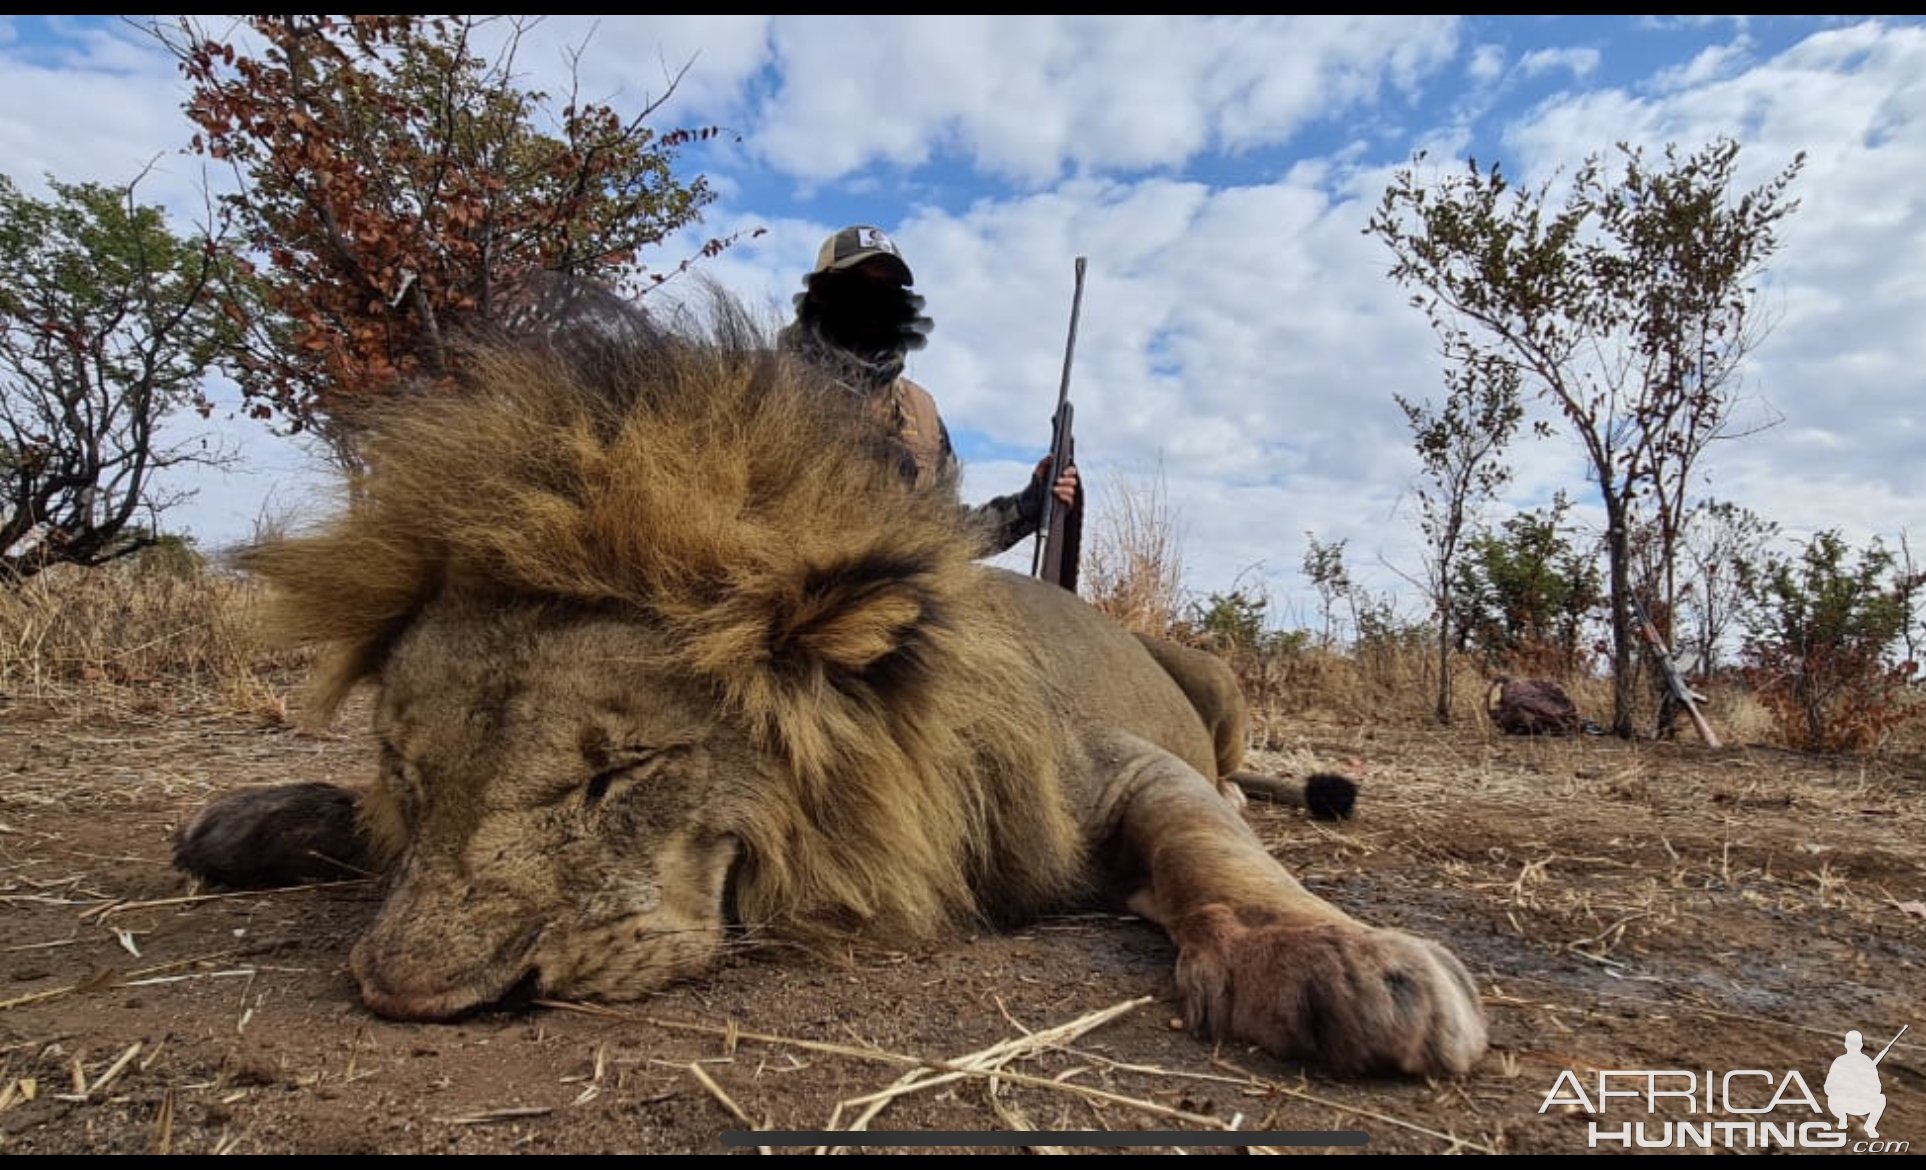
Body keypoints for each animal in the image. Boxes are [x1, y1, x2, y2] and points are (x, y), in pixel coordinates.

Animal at [169, 294, 1486, 1079]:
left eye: (623, 770)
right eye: (408, 766)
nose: (411, 997)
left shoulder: (1103, 767)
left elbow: (1210, 846)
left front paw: (1333, 965)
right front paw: (259, 819)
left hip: (1215, 680)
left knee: (1239, 785)